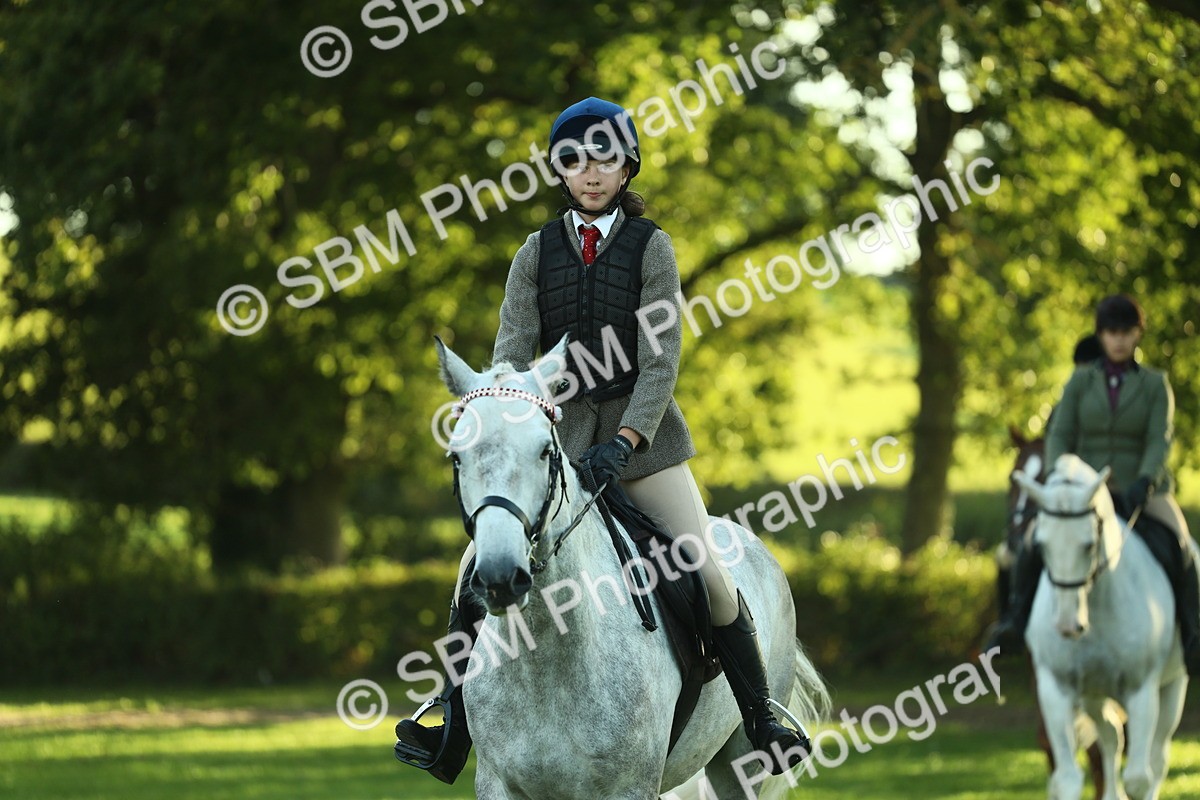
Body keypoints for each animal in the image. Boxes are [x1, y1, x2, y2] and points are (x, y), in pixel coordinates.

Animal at [1014, 454, 1187, 800]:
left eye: (1088, 545)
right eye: (1041, 545)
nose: (1067, 625)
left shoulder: (1141, 690)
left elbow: (1138, 779)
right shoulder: (1055, 689)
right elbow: (1068, 778)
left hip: (1173, 687)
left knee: (1157, 757)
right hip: (1094, 693)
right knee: (1109, 736)